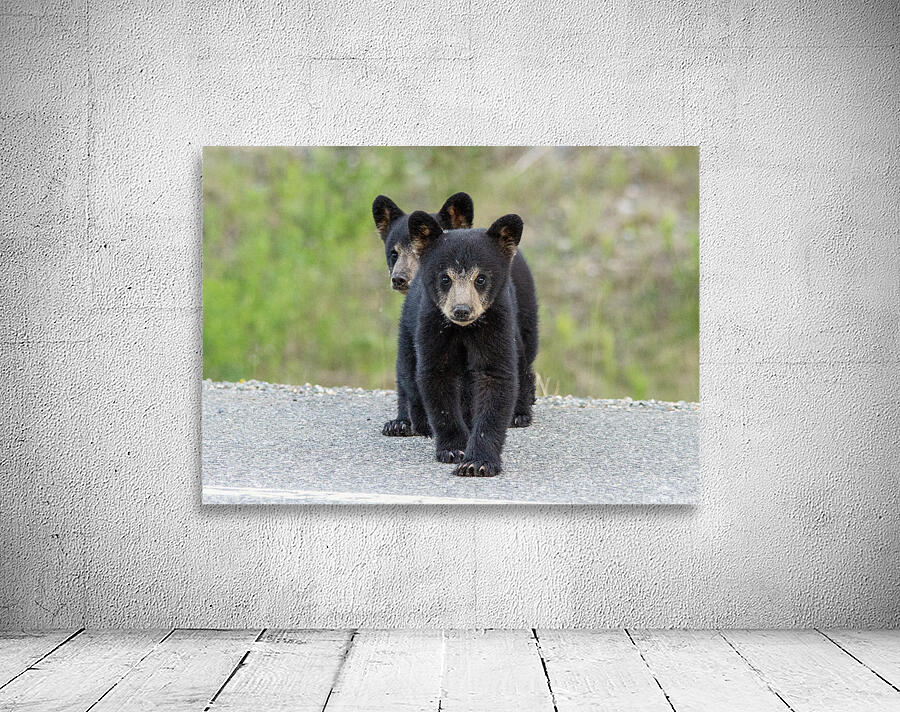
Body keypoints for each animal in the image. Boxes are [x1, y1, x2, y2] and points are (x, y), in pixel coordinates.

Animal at [403, 210, 538, 476]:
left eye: (481, 278)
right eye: (445, 278)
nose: (462, 310)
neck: (463, 330)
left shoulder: (496, 322)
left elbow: (496, 377)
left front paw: (479, 461)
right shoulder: (432, 324)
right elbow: (436, 378)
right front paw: (453, 448)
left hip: (525, 314)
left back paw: (520, 413)